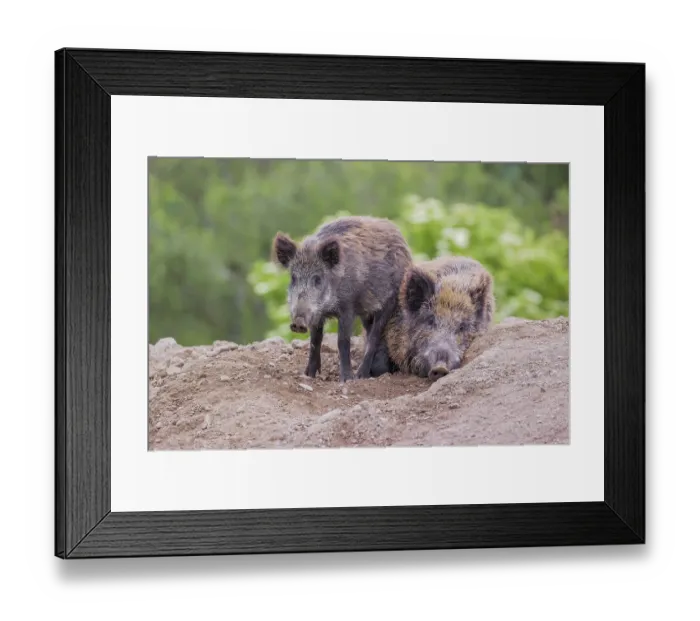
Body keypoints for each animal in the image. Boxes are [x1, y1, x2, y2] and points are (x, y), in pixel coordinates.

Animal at [272, 216, 412, 383]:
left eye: (317, 279)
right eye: (293, 278)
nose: (298, 323)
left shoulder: (347, 308)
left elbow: (343, 341)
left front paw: (346, 379)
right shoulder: (318, 314)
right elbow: (315, 341)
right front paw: (309, 375)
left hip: (389, 301)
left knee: (375, 335)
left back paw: (361, 375)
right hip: (366, 311)